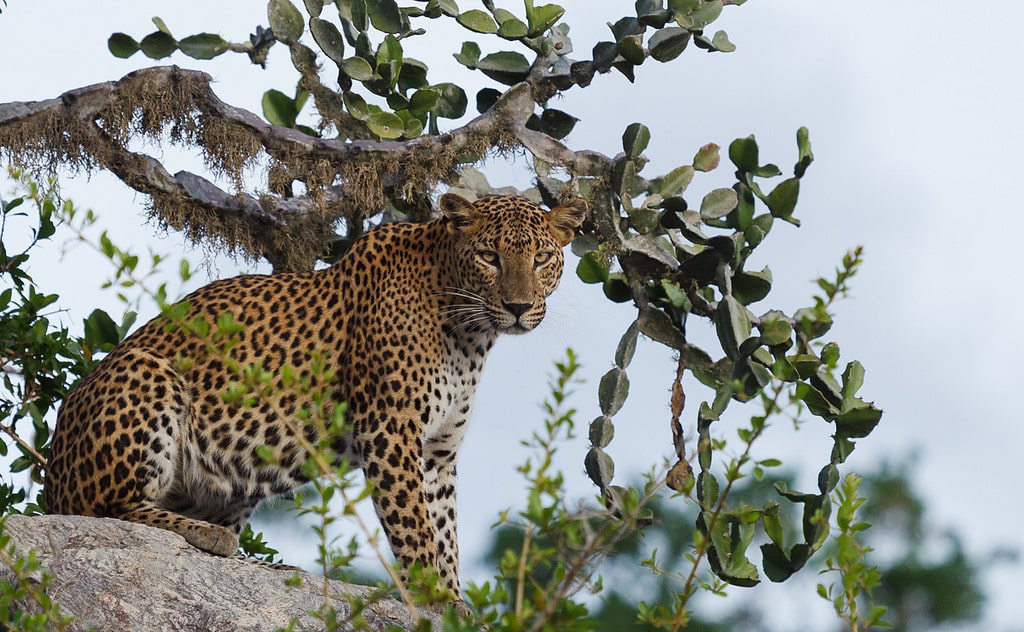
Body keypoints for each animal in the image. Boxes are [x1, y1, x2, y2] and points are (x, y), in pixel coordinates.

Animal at [46, 193, 585, 602]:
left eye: (541, 258)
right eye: (489, 256)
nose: (518, 307)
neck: (470, 333)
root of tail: (50, 481)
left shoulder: (438, 451)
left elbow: (444, 529)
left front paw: (455, 602)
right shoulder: (390, 430)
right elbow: (413, 526)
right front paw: (431, 596)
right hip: (146, 375)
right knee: (104, 509)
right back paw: (207, 535)